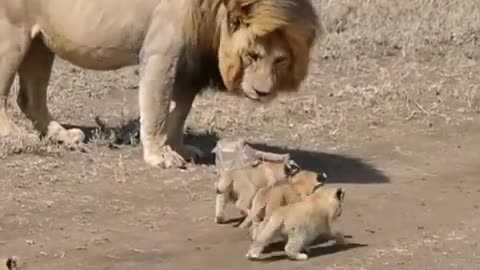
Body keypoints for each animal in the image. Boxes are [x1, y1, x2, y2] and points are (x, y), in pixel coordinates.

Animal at [0, 0, 318, 169]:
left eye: (280, 60)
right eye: (252, 55)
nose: (263, 92)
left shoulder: (189, 64)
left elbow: (179, 111)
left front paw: (179, 149)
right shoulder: (160, 53)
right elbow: (157, 108)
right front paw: (159, 155)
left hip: (42, 42)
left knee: (30, 97)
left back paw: (63, 136)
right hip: (12, 33)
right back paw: (16, 137)